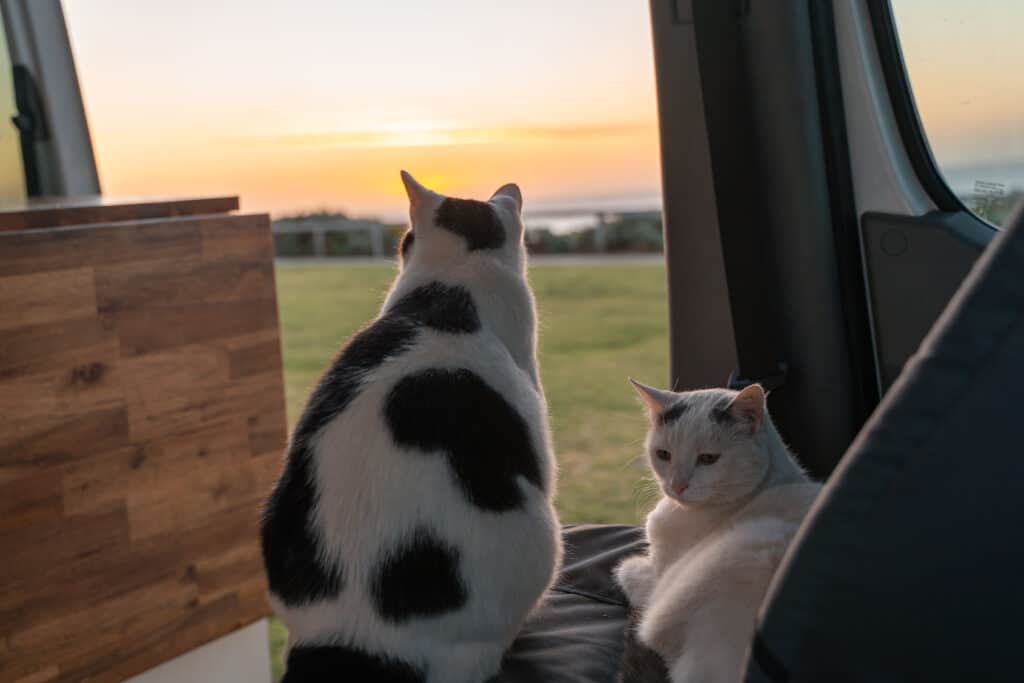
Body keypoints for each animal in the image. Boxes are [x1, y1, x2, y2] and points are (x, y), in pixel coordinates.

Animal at [610, 382, 819, 679]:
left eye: (708, 459)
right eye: (663, 455)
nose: (677, 486)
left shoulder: (659, 574)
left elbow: (631, 572)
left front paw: (629, 567)